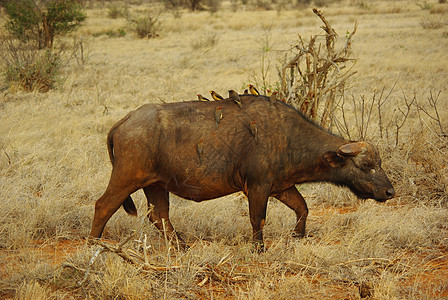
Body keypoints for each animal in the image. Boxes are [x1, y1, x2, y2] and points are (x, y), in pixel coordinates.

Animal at [90, 95, 396, 251]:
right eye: (366, 166)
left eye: (380, 163)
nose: (390, 191)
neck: (288, 136)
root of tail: (125, 121)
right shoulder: (258, 188)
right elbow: (257, 219)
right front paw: (259, 249)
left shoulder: (281, 186)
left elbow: (303, 208)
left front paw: (298, 236)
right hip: (127, 178)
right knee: (103, 205)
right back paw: (94, 244)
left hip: (155, 185)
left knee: (159, 216)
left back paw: (181, 246)